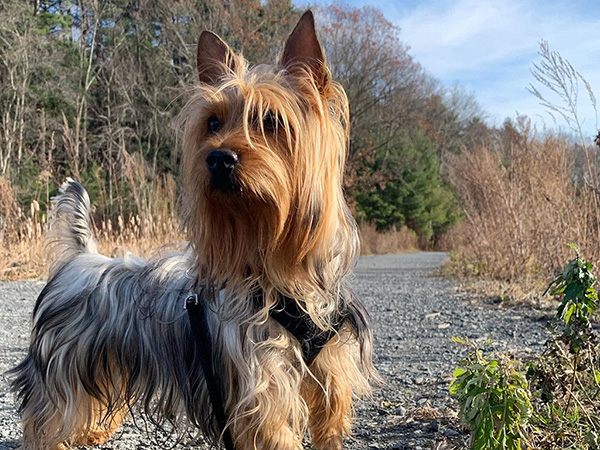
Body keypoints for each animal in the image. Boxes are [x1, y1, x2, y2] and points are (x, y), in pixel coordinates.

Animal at [9, 11, 378, 450]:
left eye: (270, 121)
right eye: (212, 123)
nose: (218, 158)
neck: (285, 276)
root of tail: (82, 256)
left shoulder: (329, 375)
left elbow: (328, 421)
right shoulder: (262, 387)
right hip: (62, 365)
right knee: (46, 412)